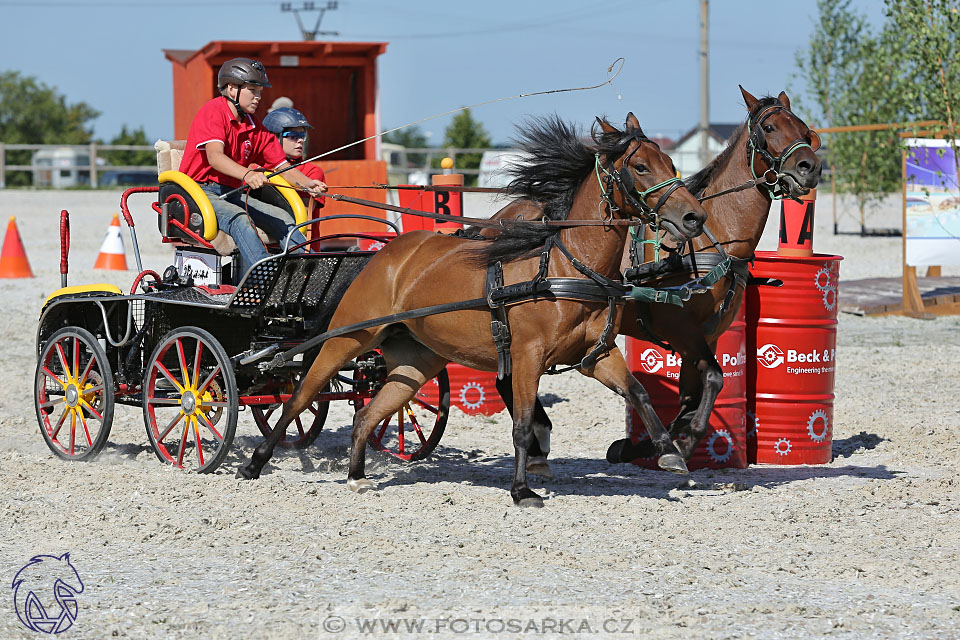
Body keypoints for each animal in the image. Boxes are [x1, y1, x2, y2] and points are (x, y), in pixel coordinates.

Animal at [236, 112, 708, 508]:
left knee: (369, 412)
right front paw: (522, 490)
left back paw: (356, 475)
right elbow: (522, 424)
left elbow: (638, 392)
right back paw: (254, 463)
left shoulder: (597, 357)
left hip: (415, 362)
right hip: (348, 337)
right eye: (641, 167)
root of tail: (385, 254)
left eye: (670, 161)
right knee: (301, 396)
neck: (563, 267)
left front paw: (670, 454)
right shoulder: (526, 358)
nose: (694, 217)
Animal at [492, 87, 820, 472]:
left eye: (804, 128)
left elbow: (692, 397)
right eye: (769, 127)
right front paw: (683, 443)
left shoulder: (704, 337)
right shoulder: (681, 330)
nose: (810, 167)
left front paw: (644, 446)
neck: (713, 239)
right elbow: (713, 379)